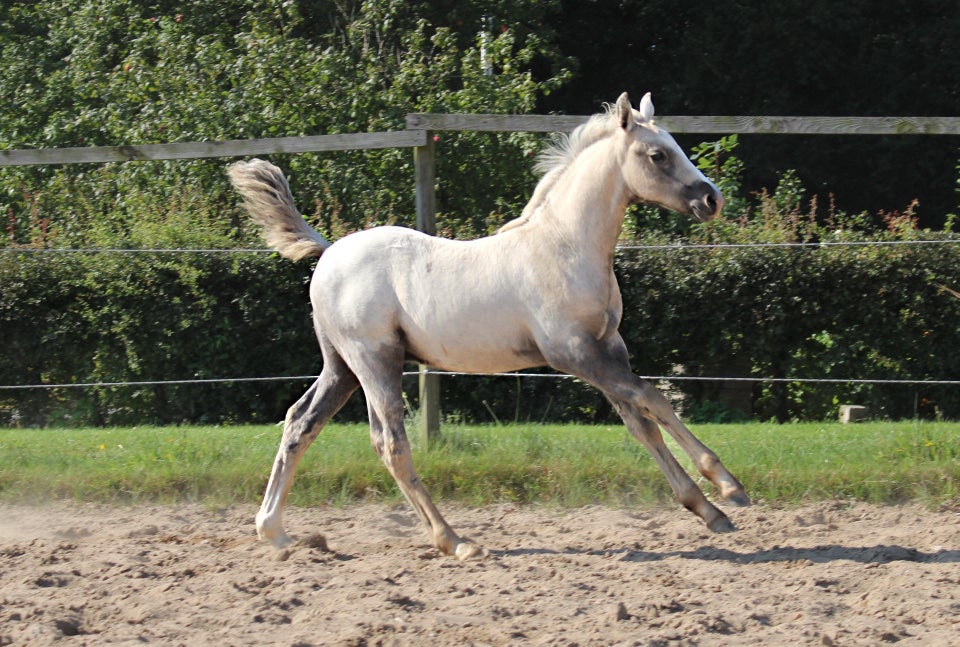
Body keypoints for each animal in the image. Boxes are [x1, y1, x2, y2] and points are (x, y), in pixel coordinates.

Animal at [231, 92, 752, 560]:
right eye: (658, 154)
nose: (712, 198)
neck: (565, 246)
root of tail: (328, 251)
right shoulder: (574, 353)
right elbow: (654, 398)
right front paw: (728, 486)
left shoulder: (608, 348)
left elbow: (641, 423)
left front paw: (707, 510)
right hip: (375, 360)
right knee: (390, 444)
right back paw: (454, 541)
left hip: (340, 367)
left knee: (301, 422)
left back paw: (274, 532)